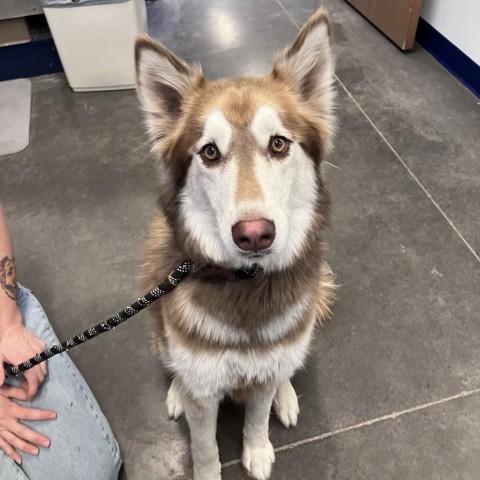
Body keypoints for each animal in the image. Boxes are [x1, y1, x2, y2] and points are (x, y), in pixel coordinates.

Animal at [135, 8, 338, 480]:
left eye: (278, 143)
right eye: (209, 152)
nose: (254, 234)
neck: (247, 285)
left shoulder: (263, 373)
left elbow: (258, 416)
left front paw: (258, 449)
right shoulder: (203, 389)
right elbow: (204, 445)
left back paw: (287, 393)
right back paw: (175, 389)